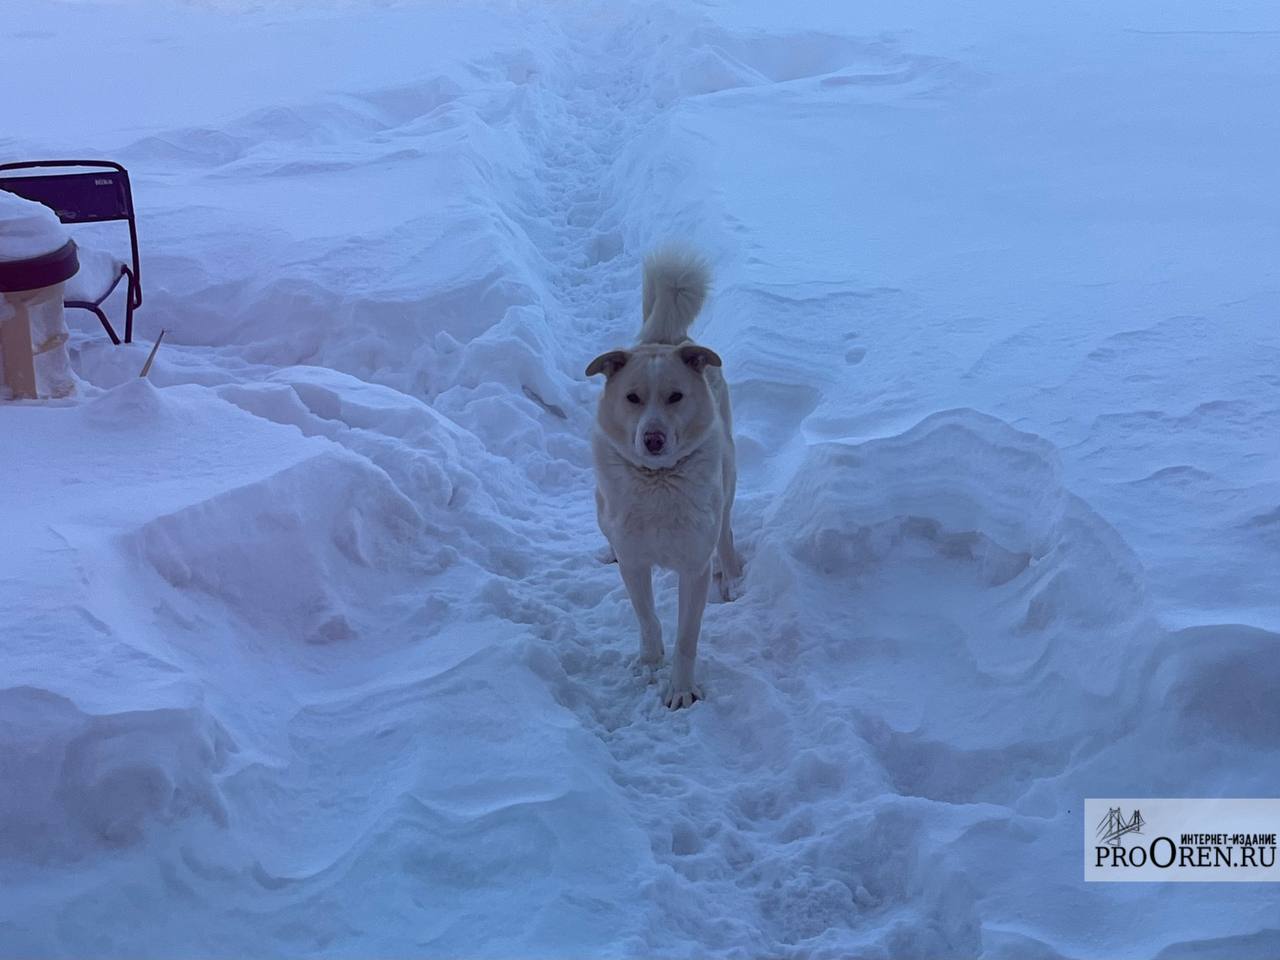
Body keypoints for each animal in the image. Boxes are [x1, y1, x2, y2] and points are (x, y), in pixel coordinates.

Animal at [586, 252, 747, 711]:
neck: (657, 483)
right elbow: (647, 618)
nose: (653, 439)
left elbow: (687, 638)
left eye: (675, 396)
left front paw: (681, 689)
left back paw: (731, 577)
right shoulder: (636, 561)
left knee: (726, 531)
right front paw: (648, 662)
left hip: (728, 477)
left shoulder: (693, 566)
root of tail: (667, 337)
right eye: (632, 398)